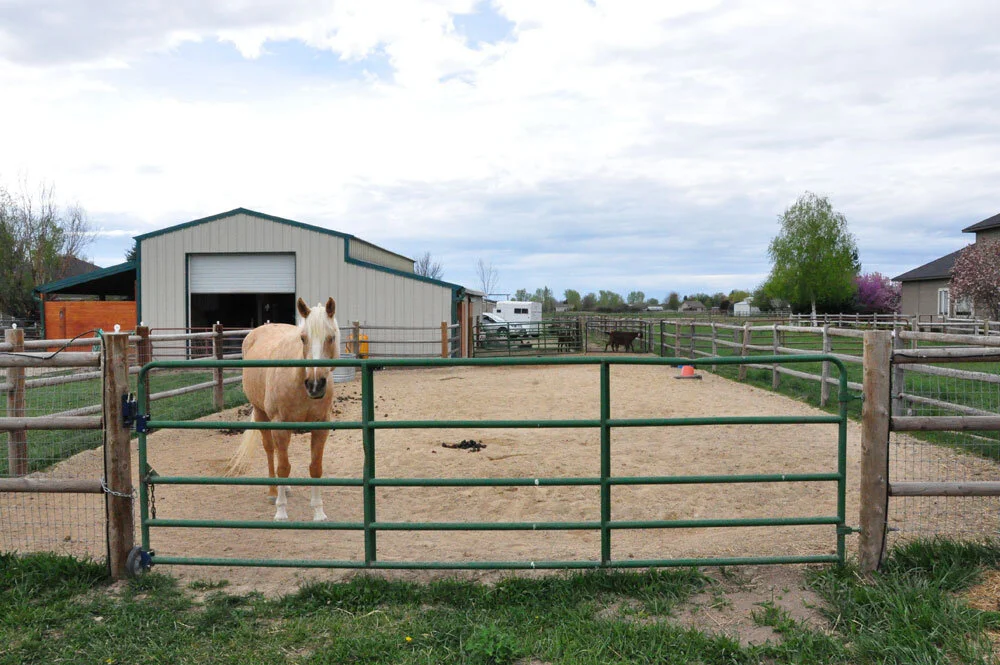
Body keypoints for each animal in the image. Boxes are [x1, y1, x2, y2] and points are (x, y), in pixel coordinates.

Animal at [225, 297, 340, 521]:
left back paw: (284, 488)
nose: (315, 385)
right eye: (303, 338)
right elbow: (283, 466)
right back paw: (273, 492)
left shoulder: (321, 427)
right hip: (261, 415)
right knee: (271, 451)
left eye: (330, 337)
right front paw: (281, 511)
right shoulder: (279, 425)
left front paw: (318, 511)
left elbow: (315, 468)